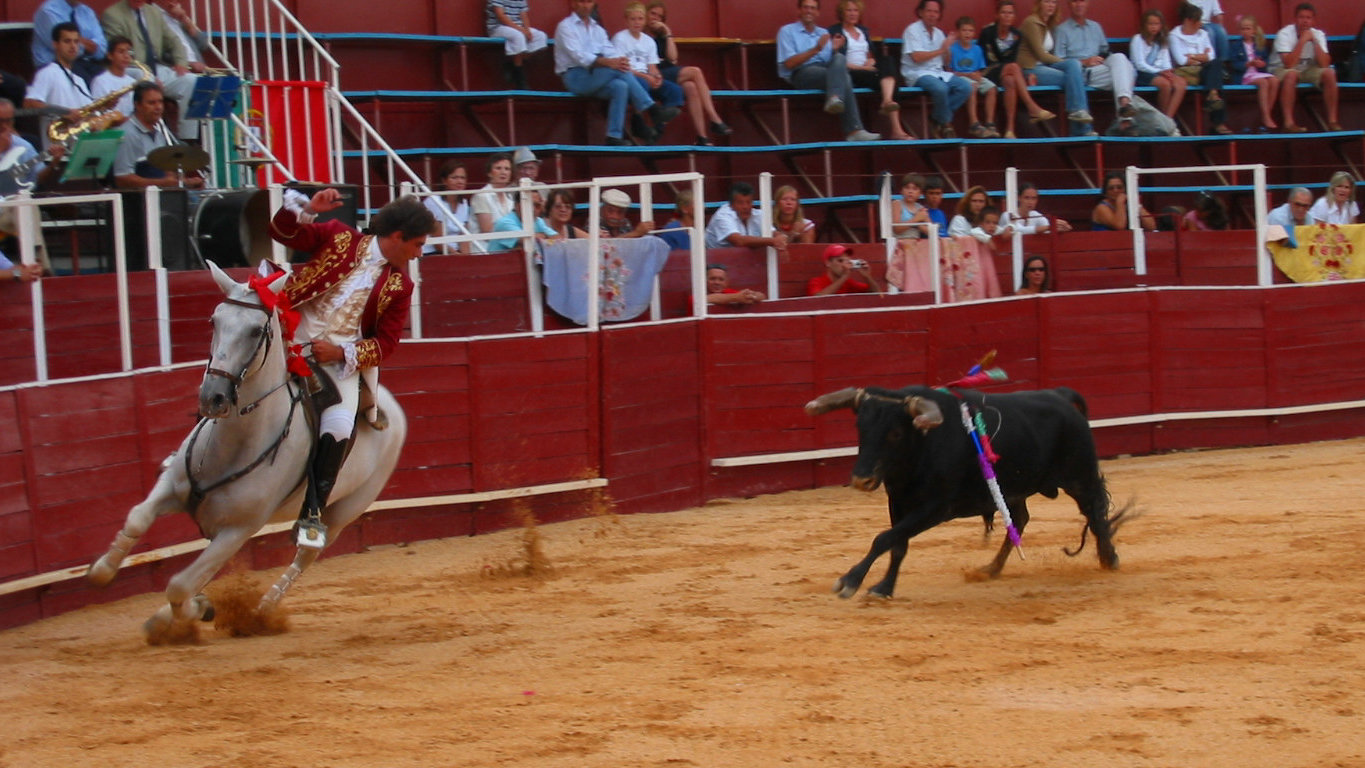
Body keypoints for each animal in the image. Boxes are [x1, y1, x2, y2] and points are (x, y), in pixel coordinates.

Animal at [88, 261, 406, 641]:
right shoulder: (172, 488)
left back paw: (260, 610)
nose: (213, 397)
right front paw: (103, 569)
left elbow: (179, 585)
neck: (233, 444)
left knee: (305, 556)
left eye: (257, 331)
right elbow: (137, 519)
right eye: (214, 320)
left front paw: (196, 610)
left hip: (345, 510)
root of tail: (389, 404)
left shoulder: (239, 530)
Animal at [797, 384, 1130, 600]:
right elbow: (897, 543)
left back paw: (1109, 558)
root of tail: (1060, 396)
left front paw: (849, 581)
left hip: (1079, 477)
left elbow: (883, 538)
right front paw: (884, 588)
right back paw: (991, 569)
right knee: (1019, 520)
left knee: (1096, 512)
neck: (922, 445)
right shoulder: (899, 502)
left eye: (895, 432)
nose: (861, 479)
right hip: (1012, 491)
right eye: (860, 428)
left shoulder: (935, 508)